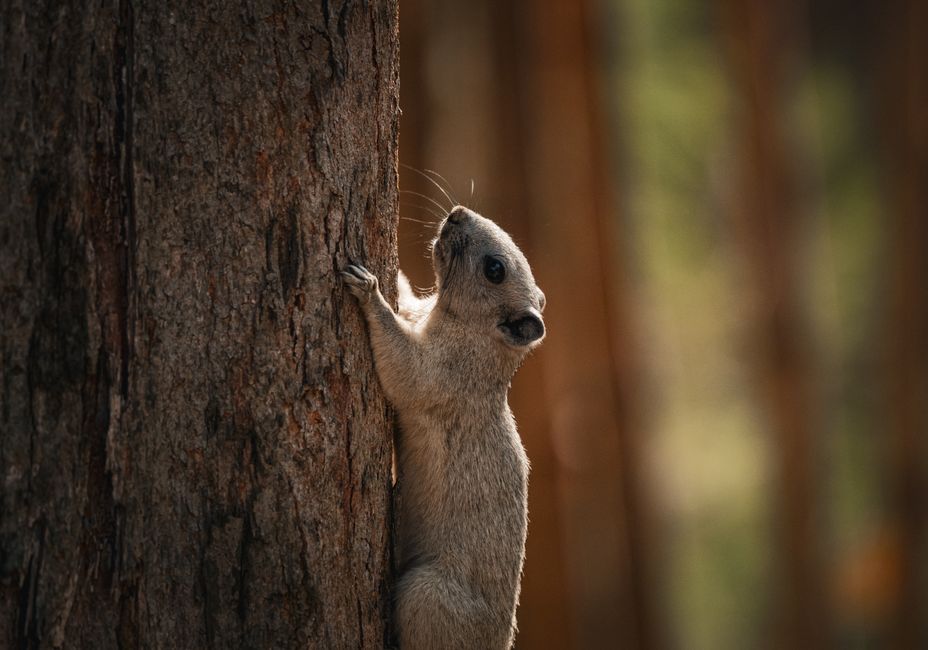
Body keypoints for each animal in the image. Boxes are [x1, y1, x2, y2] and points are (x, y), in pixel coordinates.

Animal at [341, 205, 546, 649]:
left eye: (494, 269)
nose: (456, 214)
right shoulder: (419, 316)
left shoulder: (445, 375)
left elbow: (404, 369)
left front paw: (368, 291)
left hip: (427, 595)